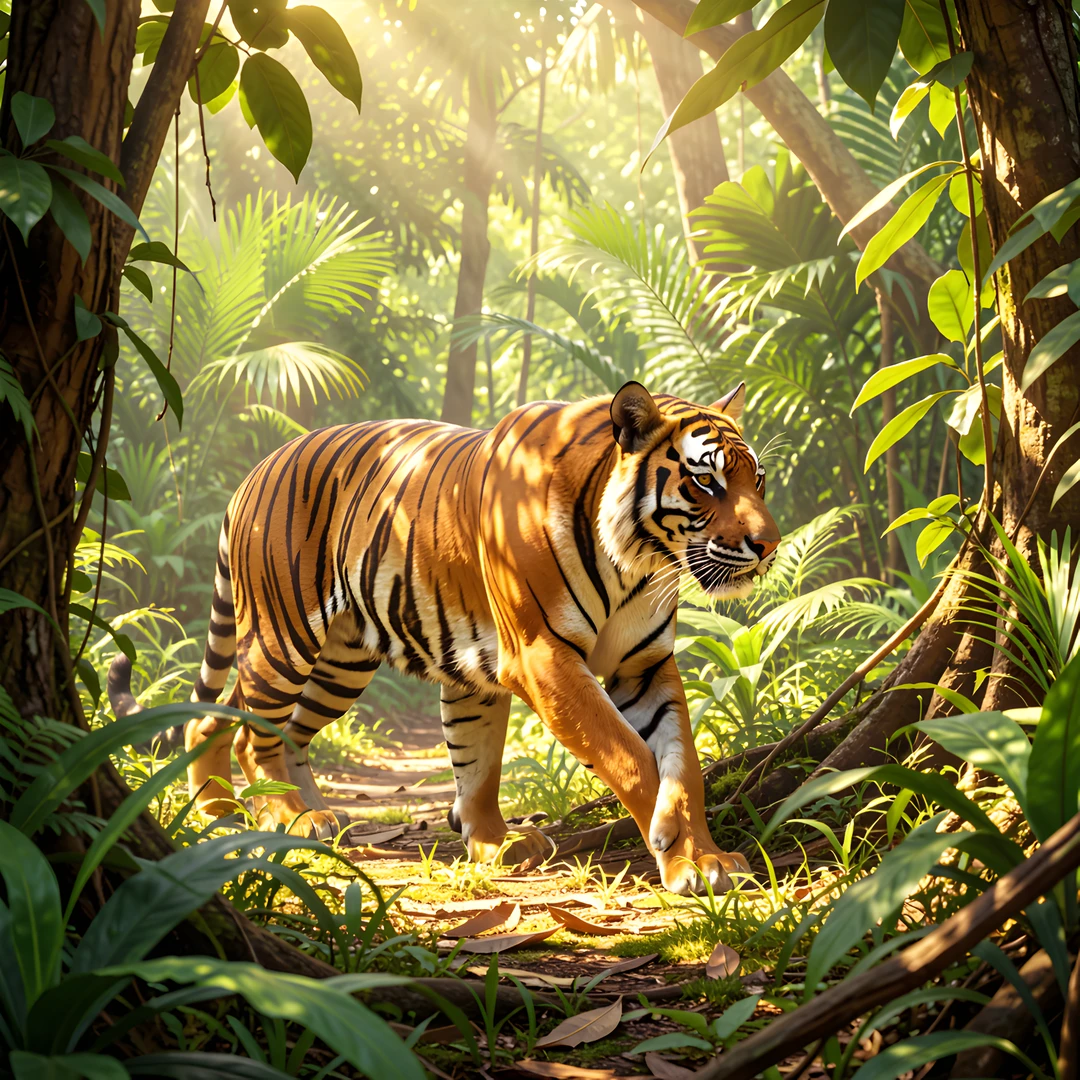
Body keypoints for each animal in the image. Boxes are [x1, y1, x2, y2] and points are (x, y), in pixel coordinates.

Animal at [109, 381, 780, 894]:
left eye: (760, 480)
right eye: (706, 484)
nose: (770, 545)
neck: (637, 561)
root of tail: (253, 472)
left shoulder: (643, 667)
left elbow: (676, 764)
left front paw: (702, 856)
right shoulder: (543, 658)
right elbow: (629, 757)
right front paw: (677, 854)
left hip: (340, 663)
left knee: (253, 723)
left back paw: (262, 813)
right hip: (285, 636)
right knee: (247, 727)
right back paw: (279, 817)